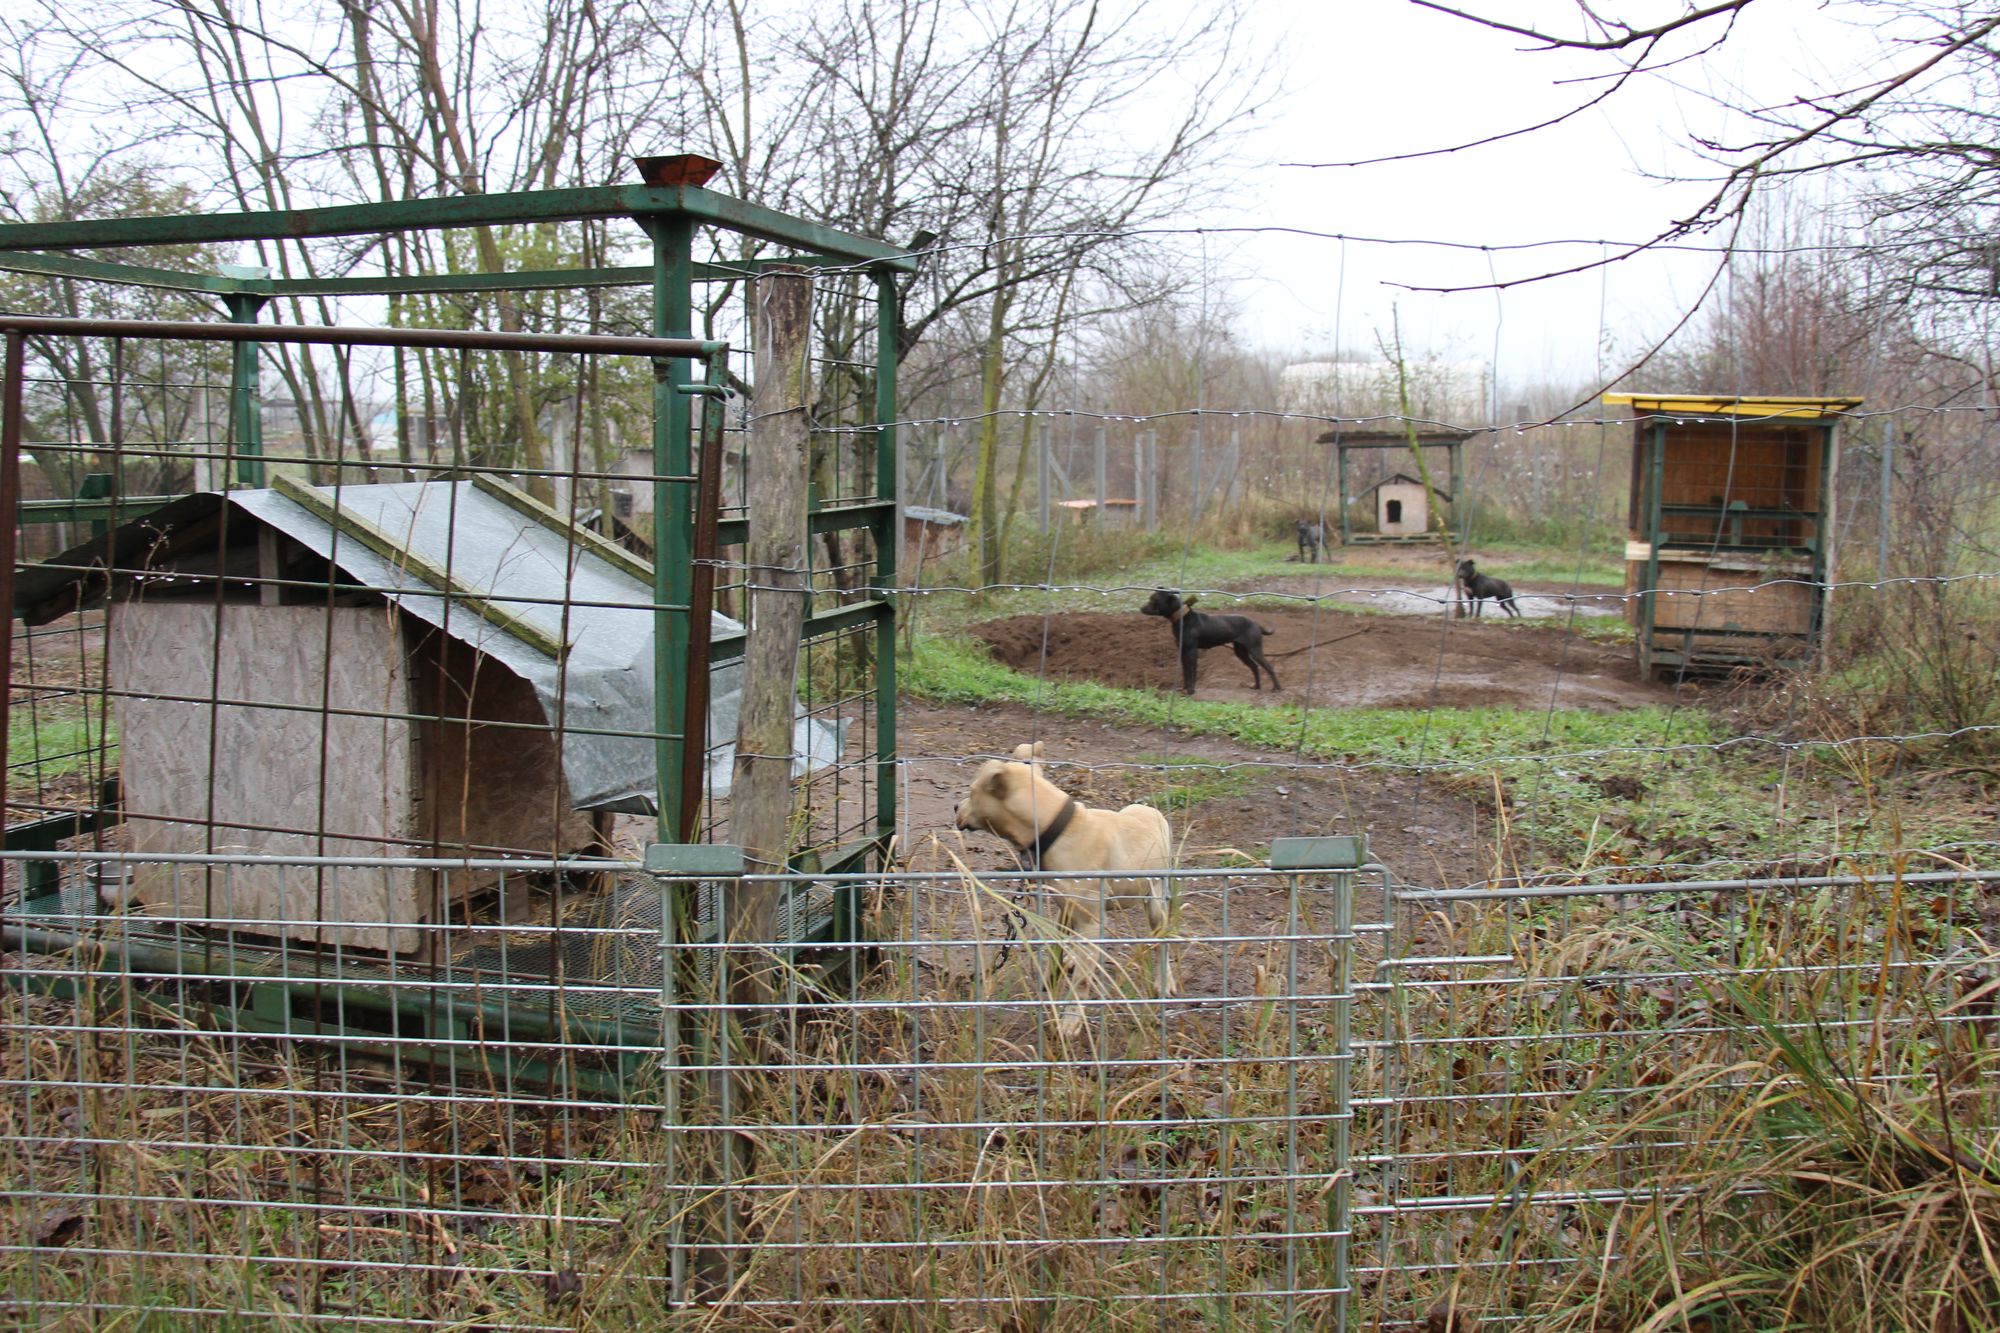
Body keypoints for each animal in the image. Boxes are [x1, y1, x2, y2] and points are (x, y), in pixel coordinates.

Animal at [952, 736, 1168, 1024]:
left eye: (972, 790)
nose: (955, 806)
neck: (1058, 829)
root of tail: (1155, 812)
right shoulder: (1064, 910)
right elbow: (1056, 951)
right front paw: (1052, 981)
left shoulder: (1091, 923)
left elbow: (1082, 982)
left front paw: (1069, 1022)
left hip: (1155, 902)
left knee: (1163, 940)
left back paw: (1164, 984)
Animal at [1144, 588, 1280, 696]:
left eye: (1154, 599)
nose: (1141, 608)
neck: (1182, 618)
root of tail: (1256, 624)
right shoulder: (1183, 651)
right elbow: (1185, 672)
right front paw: (1185, 689)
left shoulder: (1192, 651)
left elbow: (1192, 672)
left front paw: (1191, 691)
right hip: (1241, 651)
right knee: (1255, 666)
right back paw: (1257, 686)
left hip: (1254, 650)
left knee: (1269, 667)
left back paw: (1277, 688)